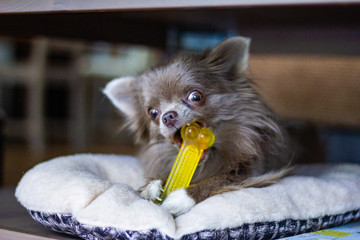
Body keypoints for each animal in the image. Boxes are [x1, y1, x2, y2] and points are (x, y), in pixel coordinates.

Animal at [103, 36, 290, 217]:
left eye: (195, 96)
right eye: (153, 113)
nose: (168, 116)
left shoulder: (253, 173)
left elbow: (219, 180)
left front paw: (183, 196)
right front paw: (151, 186)